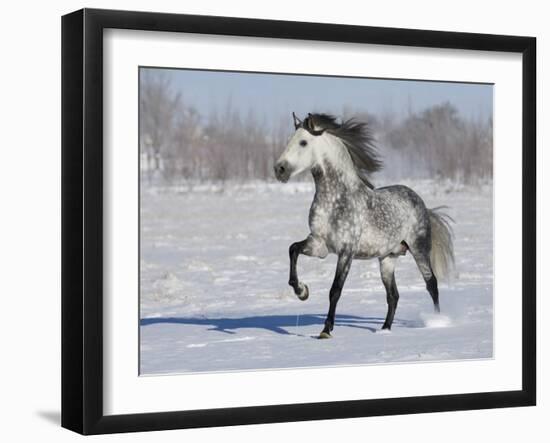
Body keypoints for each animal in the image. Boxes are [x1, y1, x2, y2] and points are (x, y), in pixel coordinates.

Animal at [274, 112, 454, 338]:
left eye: (303, 142)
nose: (279, 169)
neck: (335, 201)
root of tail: (421, 203)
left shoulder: (346, 251)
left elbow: (335, 290)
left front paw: (326, 330)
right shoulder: (319, 245)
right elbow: (293, 249)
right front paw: (302, 291)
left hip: (419, 249)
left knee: (432, 284)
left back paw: (437, 322)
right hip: (387, 258)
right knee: (393, 295)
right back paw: (384, 329)